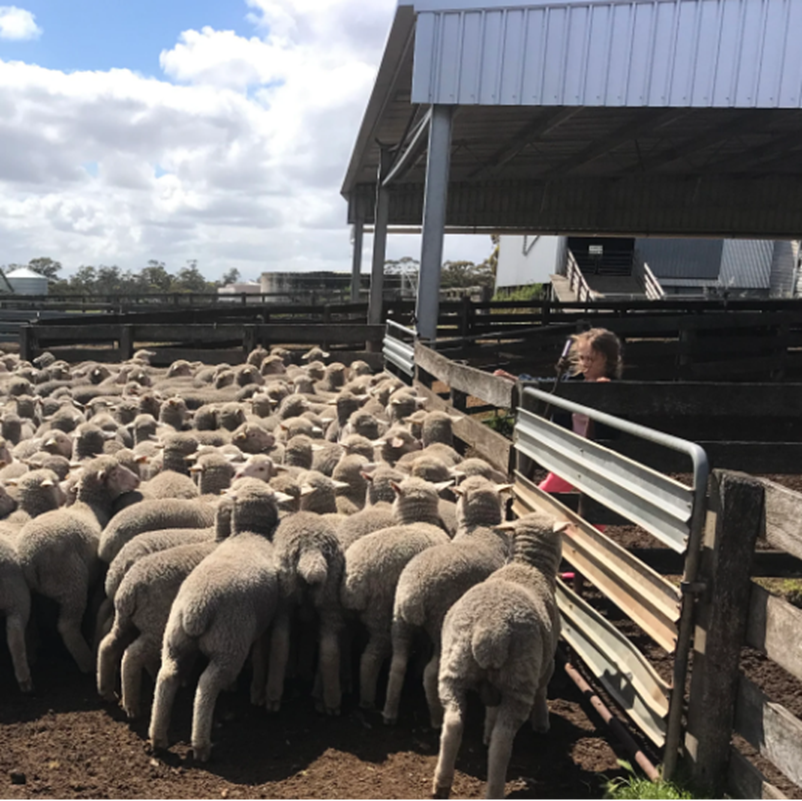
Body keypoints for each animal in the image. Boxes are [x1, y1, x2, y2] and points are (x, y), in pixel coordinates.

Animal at [16, 456, 141, 672]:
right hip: (71, 582)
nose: (137, 479)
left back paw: (31, 654)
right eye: (115, 473)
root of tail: (29, 558)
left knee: (28, 622)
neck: (91, 505)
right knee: (67, 626)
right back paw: (87, 661)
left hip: (31, 590)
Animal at [148, 480, 284, 762]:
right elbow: (261, 654)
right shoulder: (264, 622)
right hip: (229, 644)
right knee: (207, 685)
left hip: (174, 638)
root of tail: (197, 608)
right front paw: (256, 693)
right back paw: (201, 745)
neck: (249, 534)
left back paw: (158, 737)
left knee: (167, 676)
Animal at [432, 513, 567, 800]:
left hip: (454, 669)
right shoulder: (547, 662)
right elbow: (543, 690)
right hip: (519, 681)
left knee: (453, 724)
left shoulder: (493, 684)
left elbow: (490, 710)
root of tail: (490, 630)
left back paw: (442, 782)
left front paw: (485, 731)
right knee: (502, 742)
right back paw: (494, 788)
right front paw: (542, 723)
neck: (527, 568)